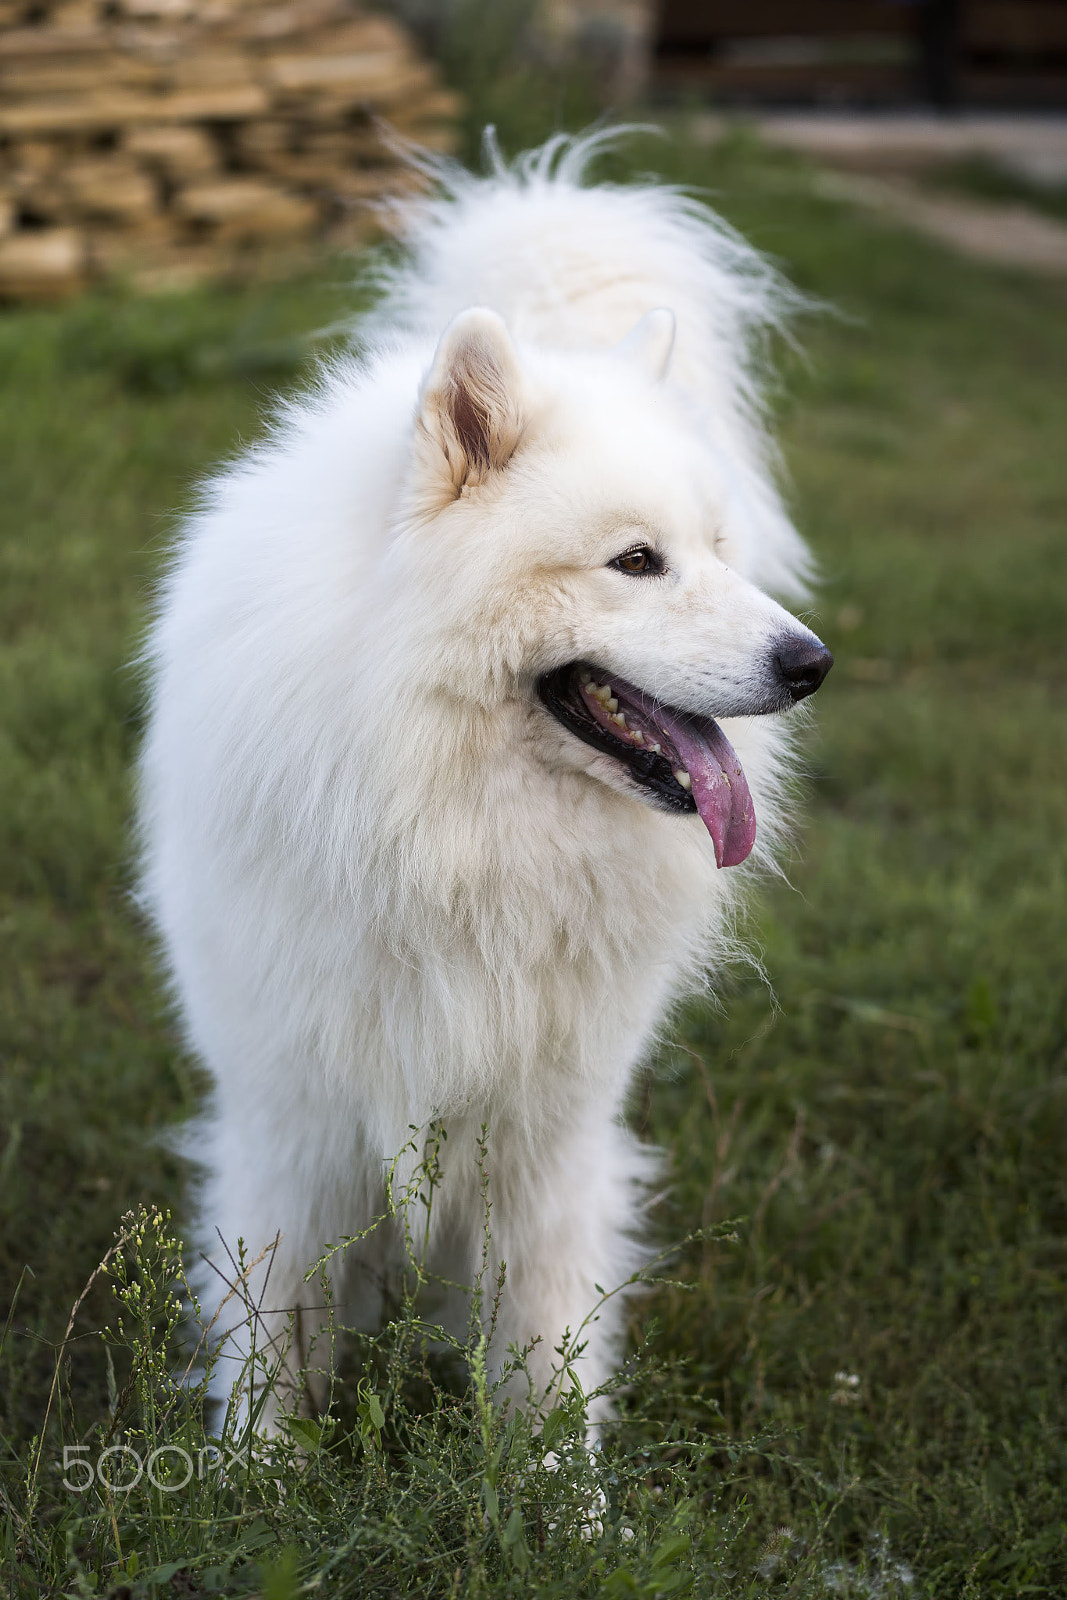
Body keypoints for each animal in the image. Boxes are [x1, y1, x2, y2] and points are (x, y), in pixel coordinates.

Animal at [135, 134, 831, 1427]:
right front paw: (253, 1467)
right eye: (634, 561)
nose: (810, 663)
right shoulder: (296, 1112)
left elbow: (544, 1334)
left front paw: (560, 1480)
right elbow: (274, 1323)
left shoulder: (546, 1127)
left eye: (718, 552)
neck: (447, 825)